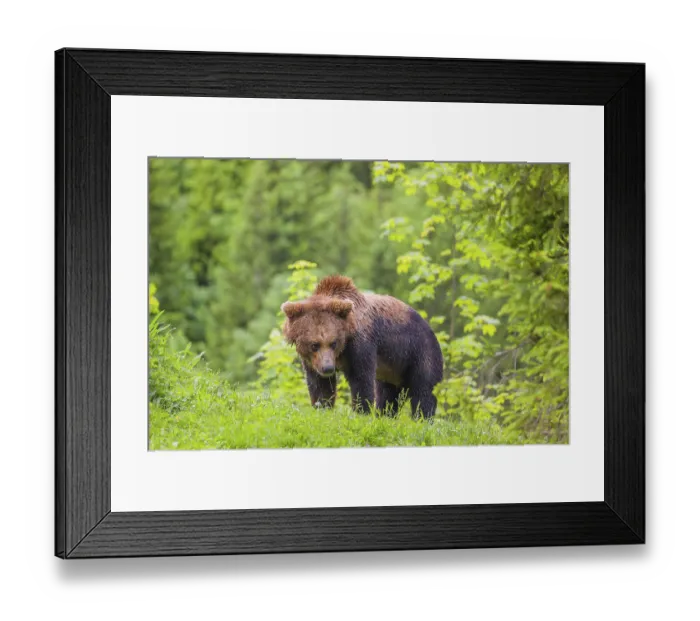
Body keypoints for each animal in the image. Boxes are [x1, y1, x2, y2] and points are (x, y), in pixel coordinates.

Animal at [281, 275, 444, 419]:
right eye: (314, 344)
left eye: (333, 342)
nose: (328, 368)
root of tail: (430, 329)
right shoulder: (313, 360)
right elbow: (320, 384)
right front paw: (322, 407)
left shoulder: (362, 344)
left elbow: (361, 379)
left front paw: (361, 411)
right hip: (392, 369)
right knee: (388, 394)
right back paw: (385, 415)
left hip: (418, 352)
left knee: (423, 390)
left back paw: (422, 418)